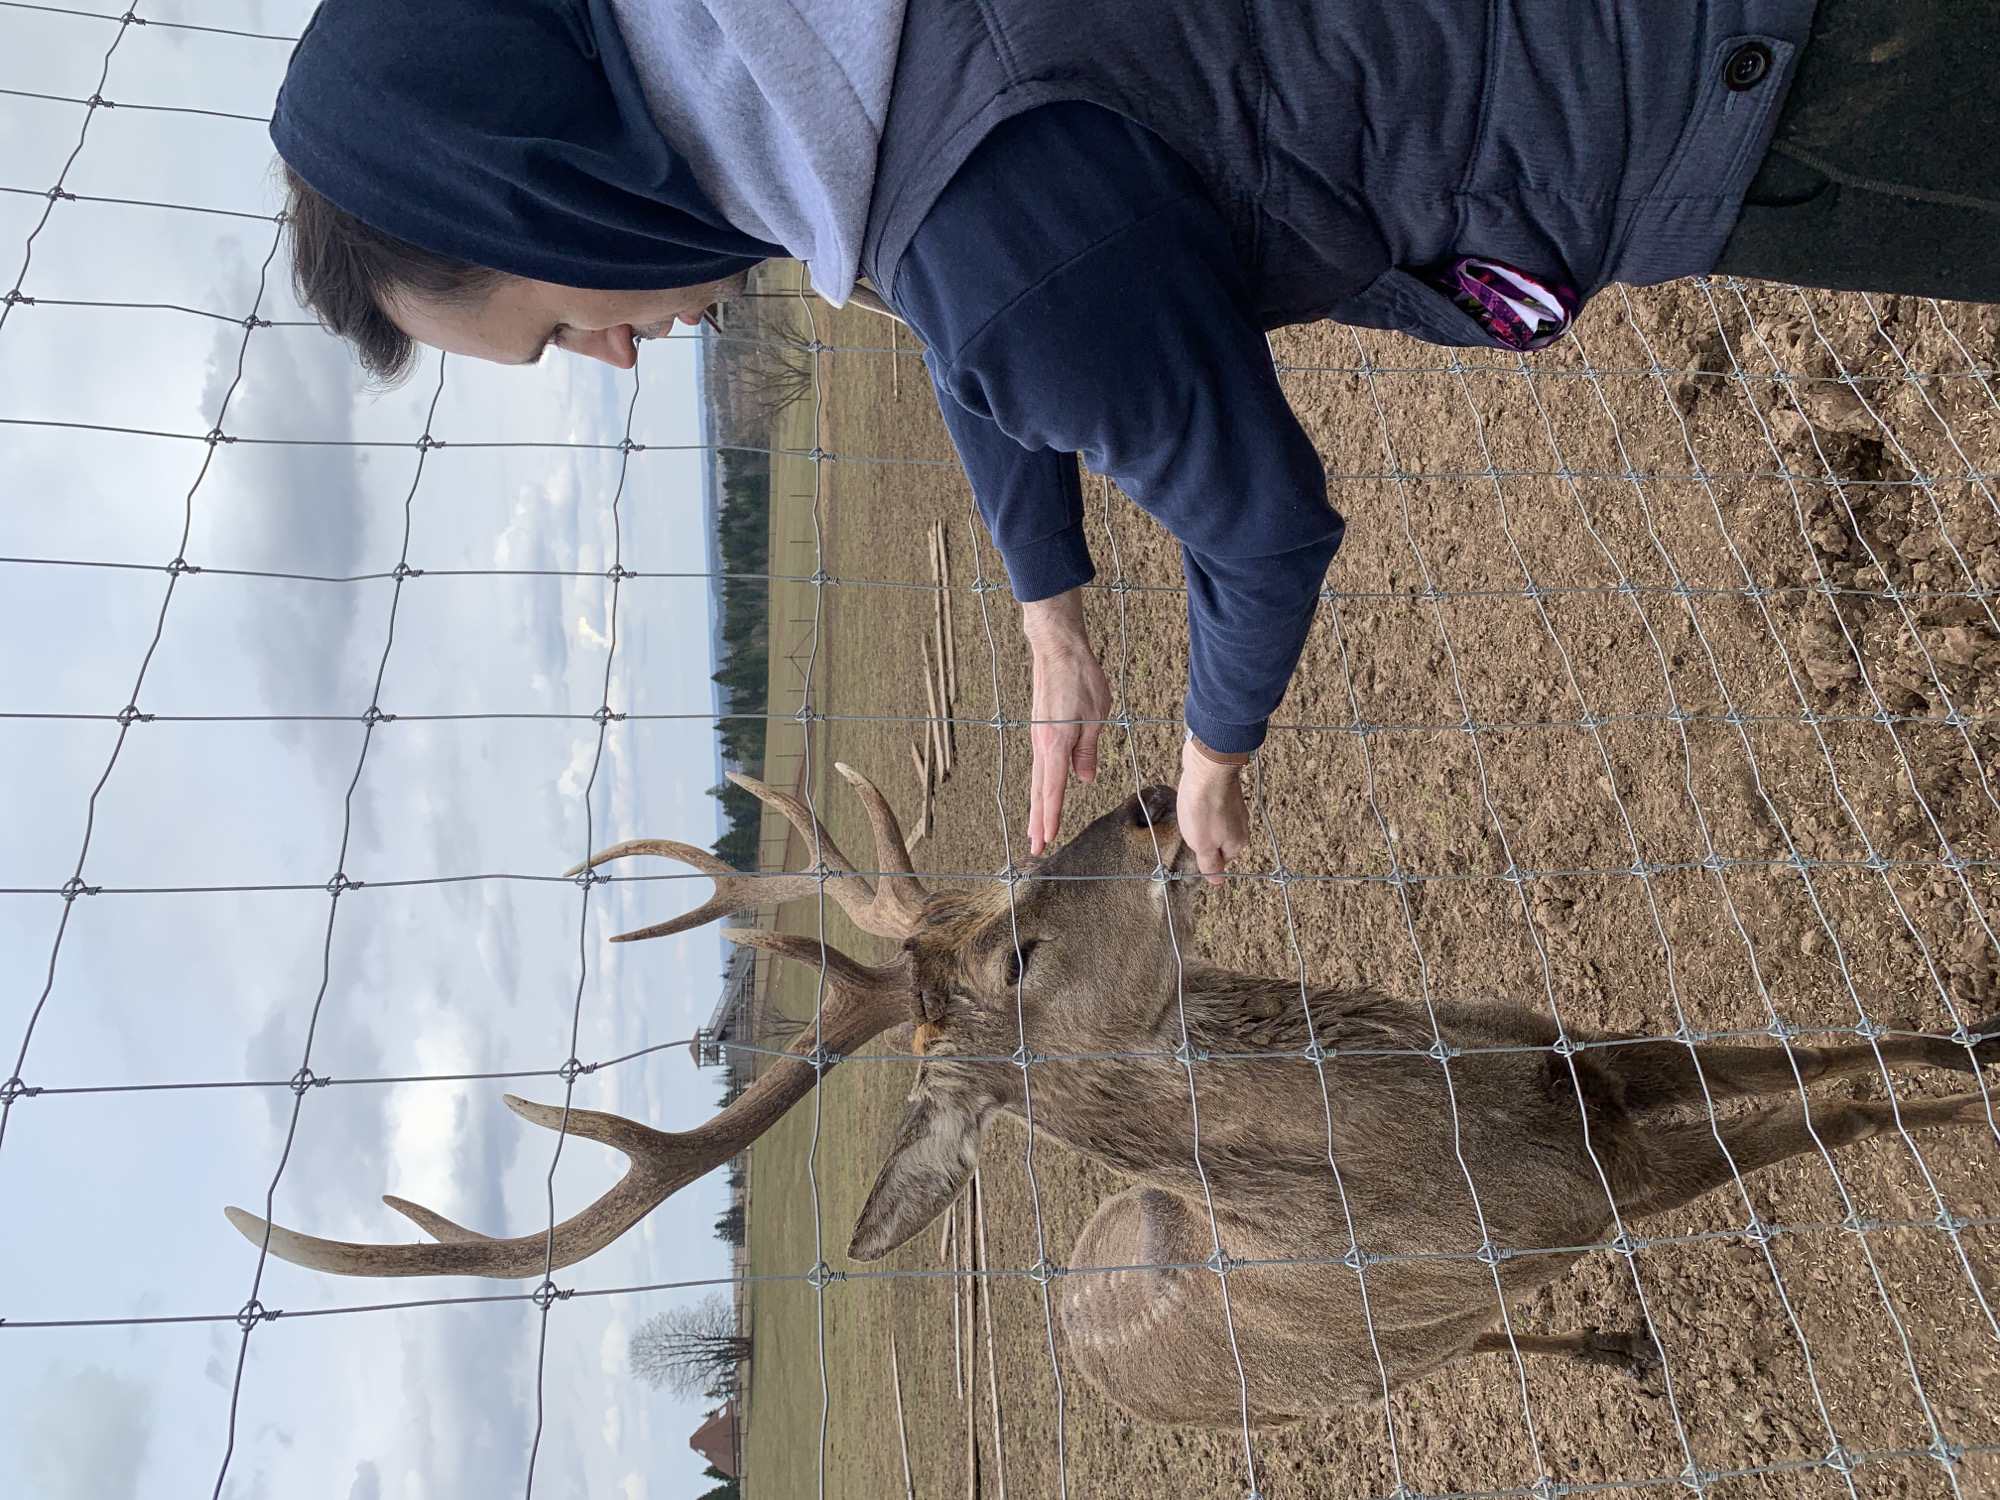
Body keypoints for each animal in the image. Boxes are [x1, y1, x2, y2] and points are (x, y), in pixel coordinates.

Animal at [227, 764, 2000, 1428]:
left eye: (1014, 886)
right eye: (1014, 947)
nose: (1154, 793)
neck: (1449, 1137)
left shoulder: (1580, 1059)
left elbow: (1825, 1047)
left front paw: (1974, 1033)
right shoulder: (1594, 1182)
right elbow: (1847, 1118)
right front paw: (1969, 1113)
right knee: (1446, 1353)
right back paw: (1609, 1345)